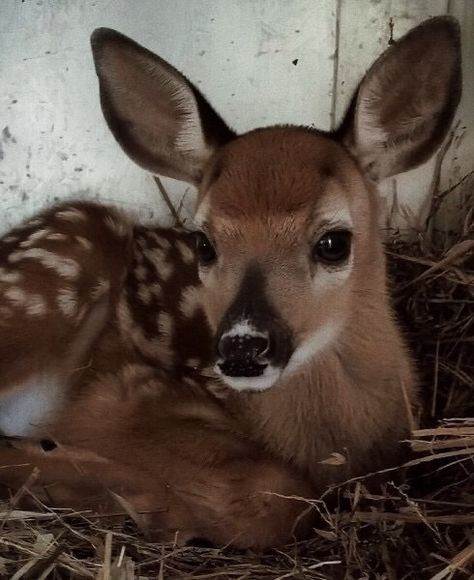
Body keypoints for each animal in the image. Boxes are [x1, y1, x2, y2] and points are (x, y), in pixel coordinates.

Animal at [0, 14, 462, 548]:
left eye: (334, 242)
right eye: (203, 242)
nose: (243, 347)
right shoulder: (124, 392)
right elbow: (276, 493)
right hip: (58, 271)